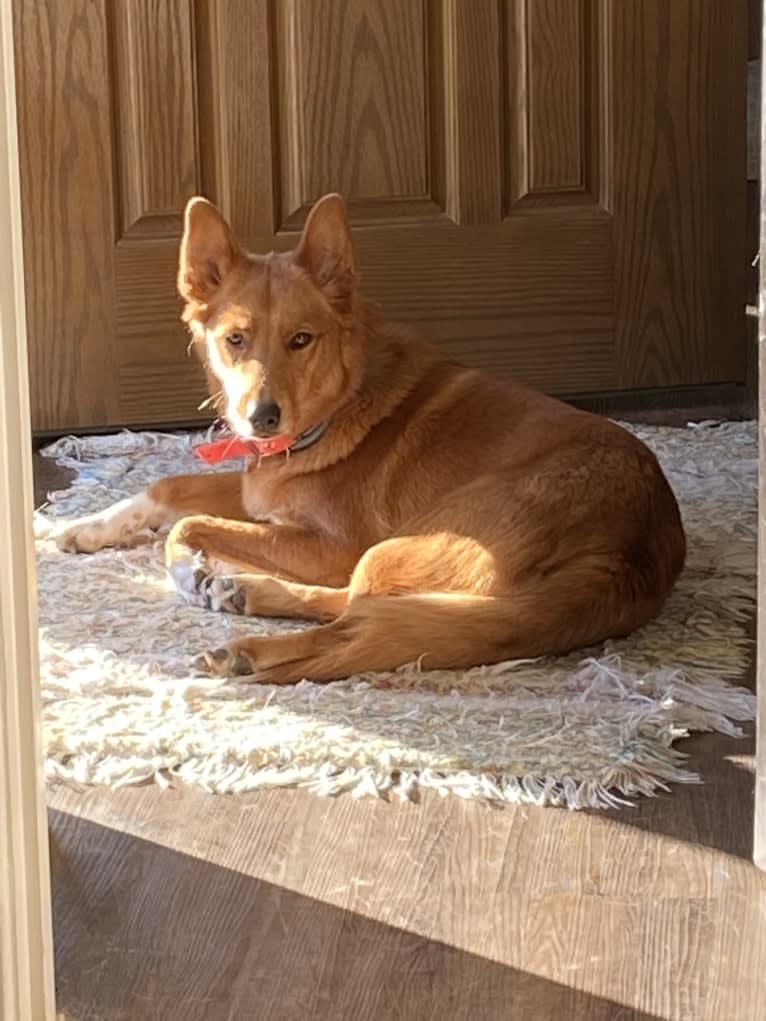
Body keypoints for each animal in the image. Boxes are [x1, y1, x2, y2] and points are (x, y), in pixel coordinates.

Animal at [52, 191, 690, 686]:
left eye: (301, 339)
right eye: (236, 339)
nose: (262, 418)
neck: (334, 408)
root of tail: (629, 553)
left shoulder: (331, 544)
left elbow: (187, 523)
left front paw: (190, 572)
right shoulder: (259, 495)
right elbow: (169, 488)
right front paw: (87, 527)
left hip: (397, 546)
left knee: (355, 624)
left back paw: (248, 649)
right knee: (357, 608)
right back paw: (248, 592)